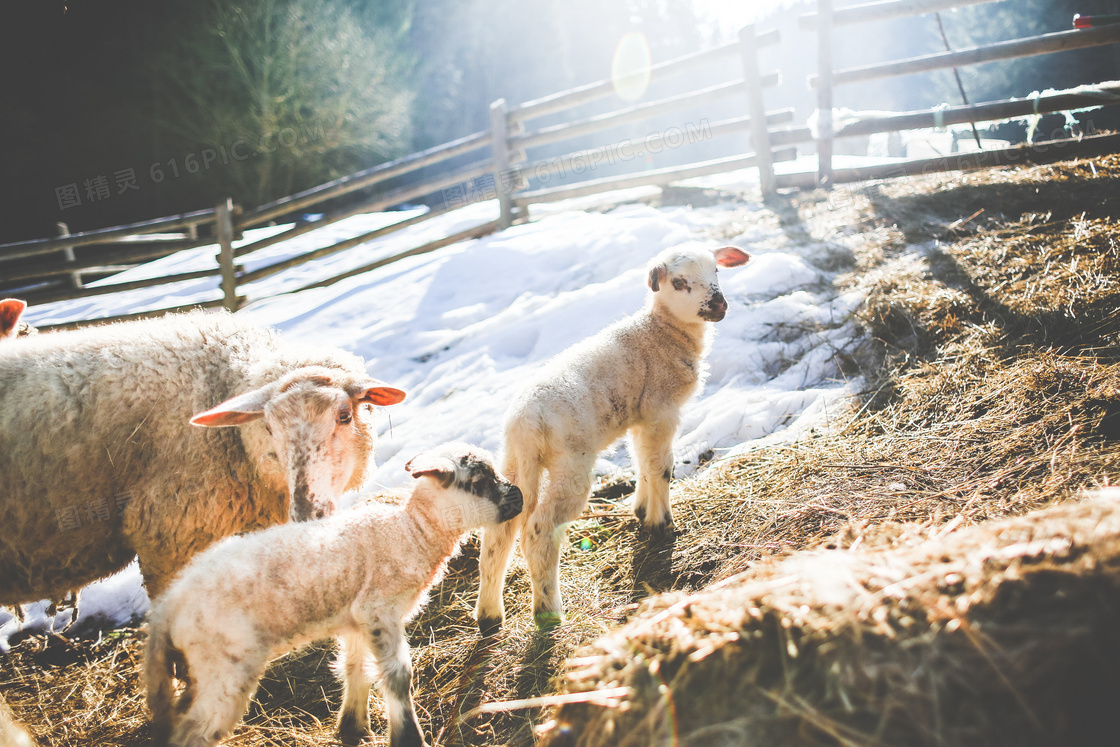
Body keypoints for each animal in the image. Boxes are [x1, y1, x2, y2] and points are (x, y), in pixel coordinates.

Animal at [145, 441, 524, 747]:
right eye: (479, 483)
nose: (519, 496)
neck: (411, 532)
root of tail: (168, 605)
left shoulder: (356, 619)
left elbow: (355, 668)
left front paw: (353, 729)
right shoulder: (378, 611)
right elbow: (397, 678)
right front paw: (407, 737)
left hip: (199, 666)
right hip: (224, 667)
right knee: (195, 731)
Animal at [474, 244, 748, 631]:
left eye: (717, 271)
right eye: (679, 282)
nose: (719, 304)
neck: (661, 332)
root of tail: (525, 421)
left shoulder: (641, 417)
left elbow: (641, 462)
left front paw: (642, 511)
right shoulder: (661, 409)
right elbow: (661, 466)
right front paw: (663, 525)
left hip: (514, 461)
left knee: (499, 535)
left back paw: (489, 616)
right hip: (570, 463)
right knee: (539, 531)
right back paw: (548, 612)